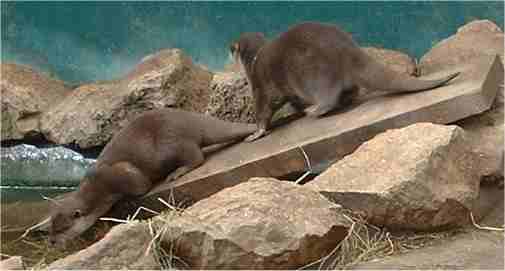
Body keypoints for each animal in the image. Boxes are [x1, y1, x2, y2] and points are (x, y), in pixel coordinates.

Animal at [46, 109, 256, 248]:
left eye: (62, 230)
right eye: (51, 228)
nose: (52, 242)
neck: (97, 186)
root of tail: (192, 120)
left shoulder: (121, 175)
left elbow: (140, 186)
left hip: (172, 143)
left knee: (197, 157)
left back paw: (177, 172)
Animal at [230, 21, 458, 142]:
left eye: (231, 51)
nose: (228, 54)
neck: (254, 59)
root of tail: (347, 50)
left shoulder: (260, 86)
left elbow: (263, 111)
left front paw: (255, 133)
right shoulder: (289, 94)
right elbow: (293, 102)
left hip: (313, 74)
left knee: (329, 96)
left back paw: (315, 110)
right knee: (350, 91)